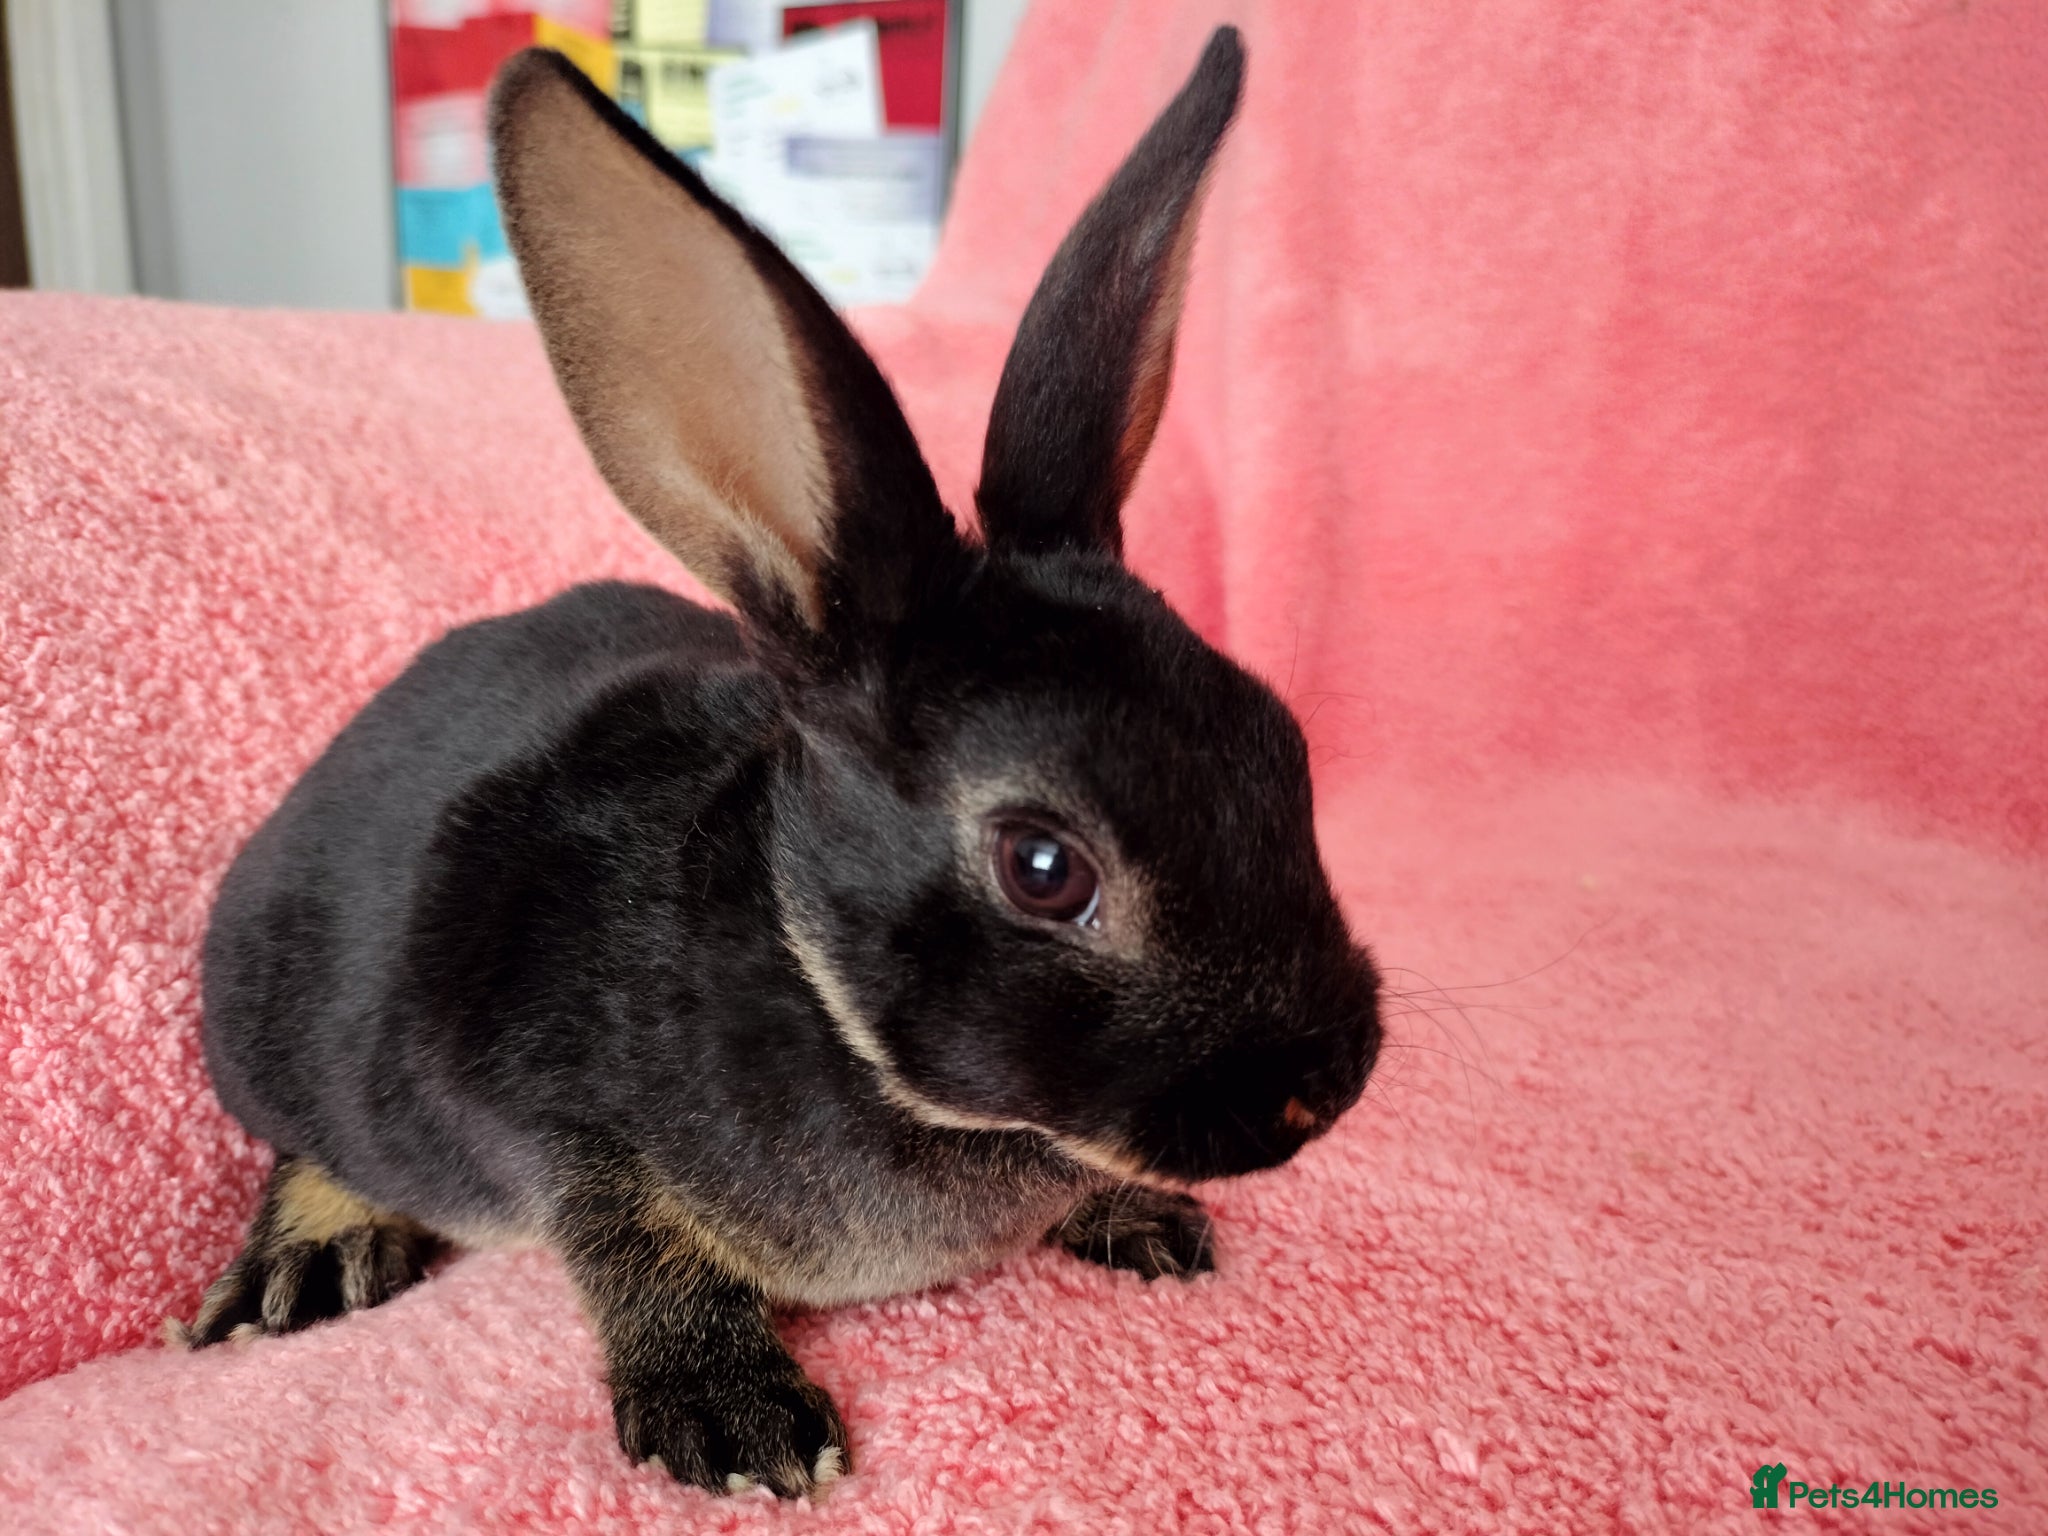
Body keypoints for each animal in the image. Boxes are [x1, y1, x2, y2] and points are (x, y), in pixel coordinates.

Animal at [180, 26, 1380, 1499]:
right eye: (1044, 868)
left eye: (1282, 744)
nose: (1326, 1083)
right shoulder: (552, 1119)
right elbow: (630, 1249)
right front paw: (734, 1418)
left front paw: (1141, 1220)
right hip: (286, 1037)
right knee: (308, 1140)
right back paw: (310, 1258)